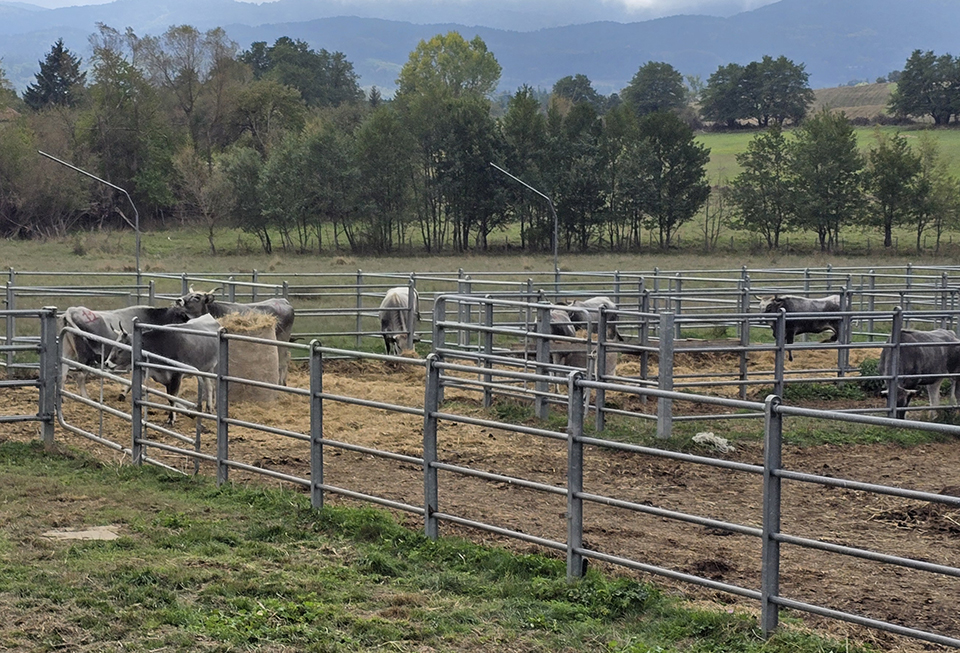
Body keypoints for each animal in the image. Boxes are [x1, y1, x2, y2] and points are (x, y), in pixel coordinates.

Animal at [60, 304, 189, 398]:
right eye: (183, 316)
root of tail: (72, 310)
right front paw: (123, 392)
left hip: (68, 353)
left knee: (63, 373)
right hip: (85, 357)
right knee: (79, 376)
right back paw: (85, 397)